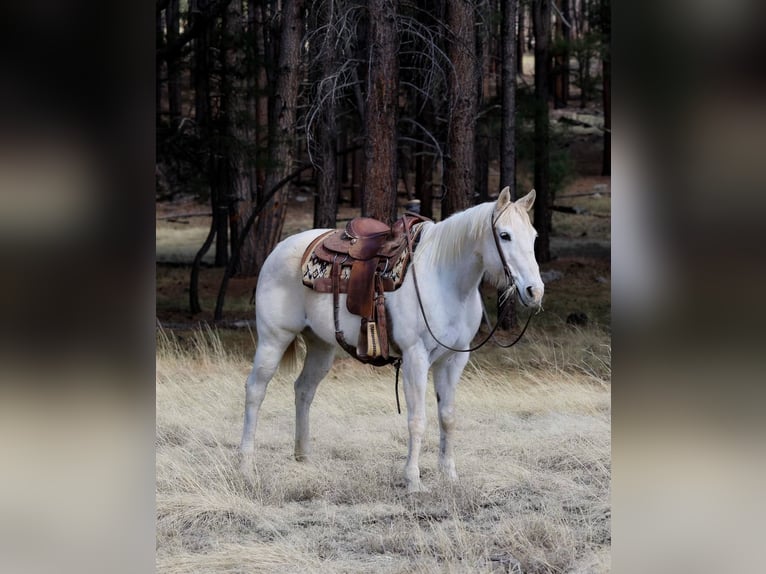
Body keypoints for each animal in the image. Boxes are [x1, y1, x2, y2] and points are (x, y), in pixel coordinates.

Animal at [239, 187, 544, 492]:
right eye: (504, 235)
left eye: (533, 236)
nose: (534, 291)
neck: (445, 280)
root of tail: (278, 249)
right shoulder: (415, 357)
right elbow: (417, 419)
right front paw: (413, 479)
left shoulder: (454, 359)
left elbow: (448, 417)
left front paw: (449, 474)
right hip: (273, 340)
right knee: (255, 391)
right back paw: (247, 466)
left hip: (321, 346)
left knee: (303, 390)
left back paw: (303, 458)